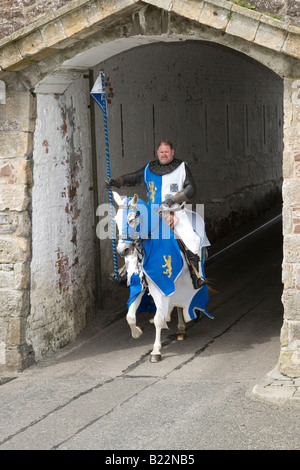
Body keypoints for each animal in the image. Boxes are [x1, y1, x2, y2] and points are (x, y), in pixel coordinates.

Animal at [113, 191, 213, 364]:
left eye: (131, 219)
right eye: (116, 220)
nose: (122, 250)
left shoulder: (161, 286)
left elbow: (159, 319)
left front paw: (155, 351)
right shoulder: (140, 285)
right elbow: (130, 316)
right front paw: (137, 332)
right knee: (178, 302)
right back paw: (181, 329)